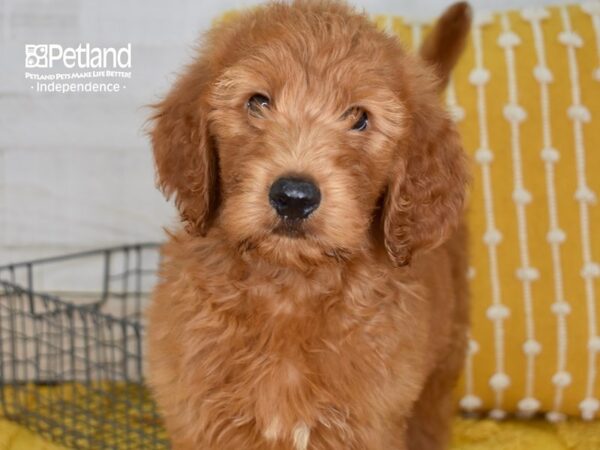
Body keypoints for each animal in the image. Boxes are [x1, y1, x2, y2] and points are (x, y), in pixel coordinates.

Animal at [148, 1, 472, 448]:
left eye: (359, 118)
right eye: (258, 102)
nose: (294, 197)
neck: (289, 288)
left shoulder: (369, 423)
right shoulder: (198, 415)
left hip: (443, 364)